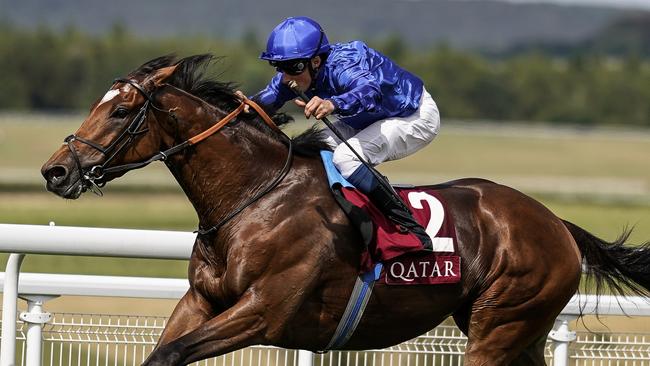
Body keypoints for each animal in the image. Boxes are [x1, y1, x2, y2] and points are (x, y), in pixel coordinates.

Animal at [41, 55, 648, 366]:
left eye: (121, 111)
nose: (55, 171)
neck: (253, 198)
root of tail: (555, 222)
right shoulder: (201, 301)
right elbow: (160, 354)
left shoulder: (263, 311)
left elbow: (171, 356)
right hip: (513, 328)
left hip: (502, 322)